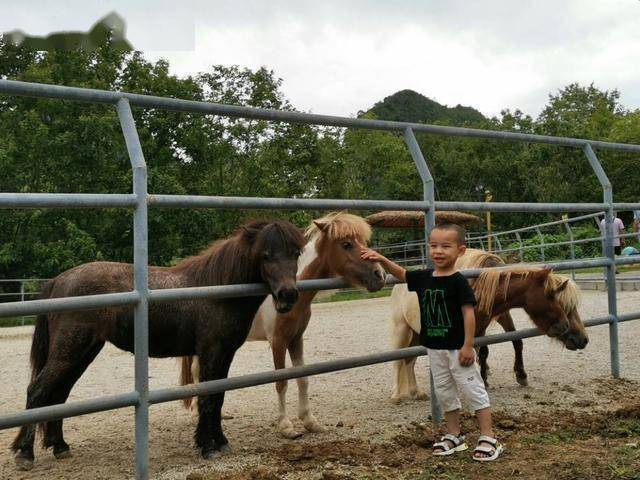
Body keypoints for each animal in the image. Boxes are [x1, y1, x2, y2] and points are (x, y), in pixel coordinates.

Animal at [11, 219, 306, 470]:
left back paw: (60, 446)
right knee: (37, 391)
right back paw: (25, 454)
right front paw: (207, 446)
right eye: (265, 255)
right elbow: (208, 397)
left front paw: (220, 441)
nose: (287, 295)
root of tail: (58, 281)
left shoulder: (225, 354)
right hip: (69, 351)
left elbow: (219, 396)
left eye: (295, 253)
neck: (216, 290)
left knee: (59, 394)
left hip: (83, 352)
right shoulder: (211, 352)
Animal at [182, 214, 388, 438]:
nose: (380, 275)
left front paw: (310, 421)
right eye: (347, 244)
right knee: (196, 372)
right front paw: (286, 426)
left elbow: (302, 377)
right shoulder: (278, 342)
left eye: (363, 242)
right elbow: (281, 382)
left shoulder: (296, 338)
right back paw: (195, 415)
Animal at [388, 249, 588, 404]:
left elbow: (491, 350)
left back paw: (416, 392)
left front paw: (496, 378)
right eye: (551, 296)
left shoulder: (482, 328)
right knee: (398, 360)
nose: (582, 339)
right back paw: (397, 395)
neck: (477, 290)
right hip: (401, 330)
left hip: (416, 334)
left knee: (409, 360)